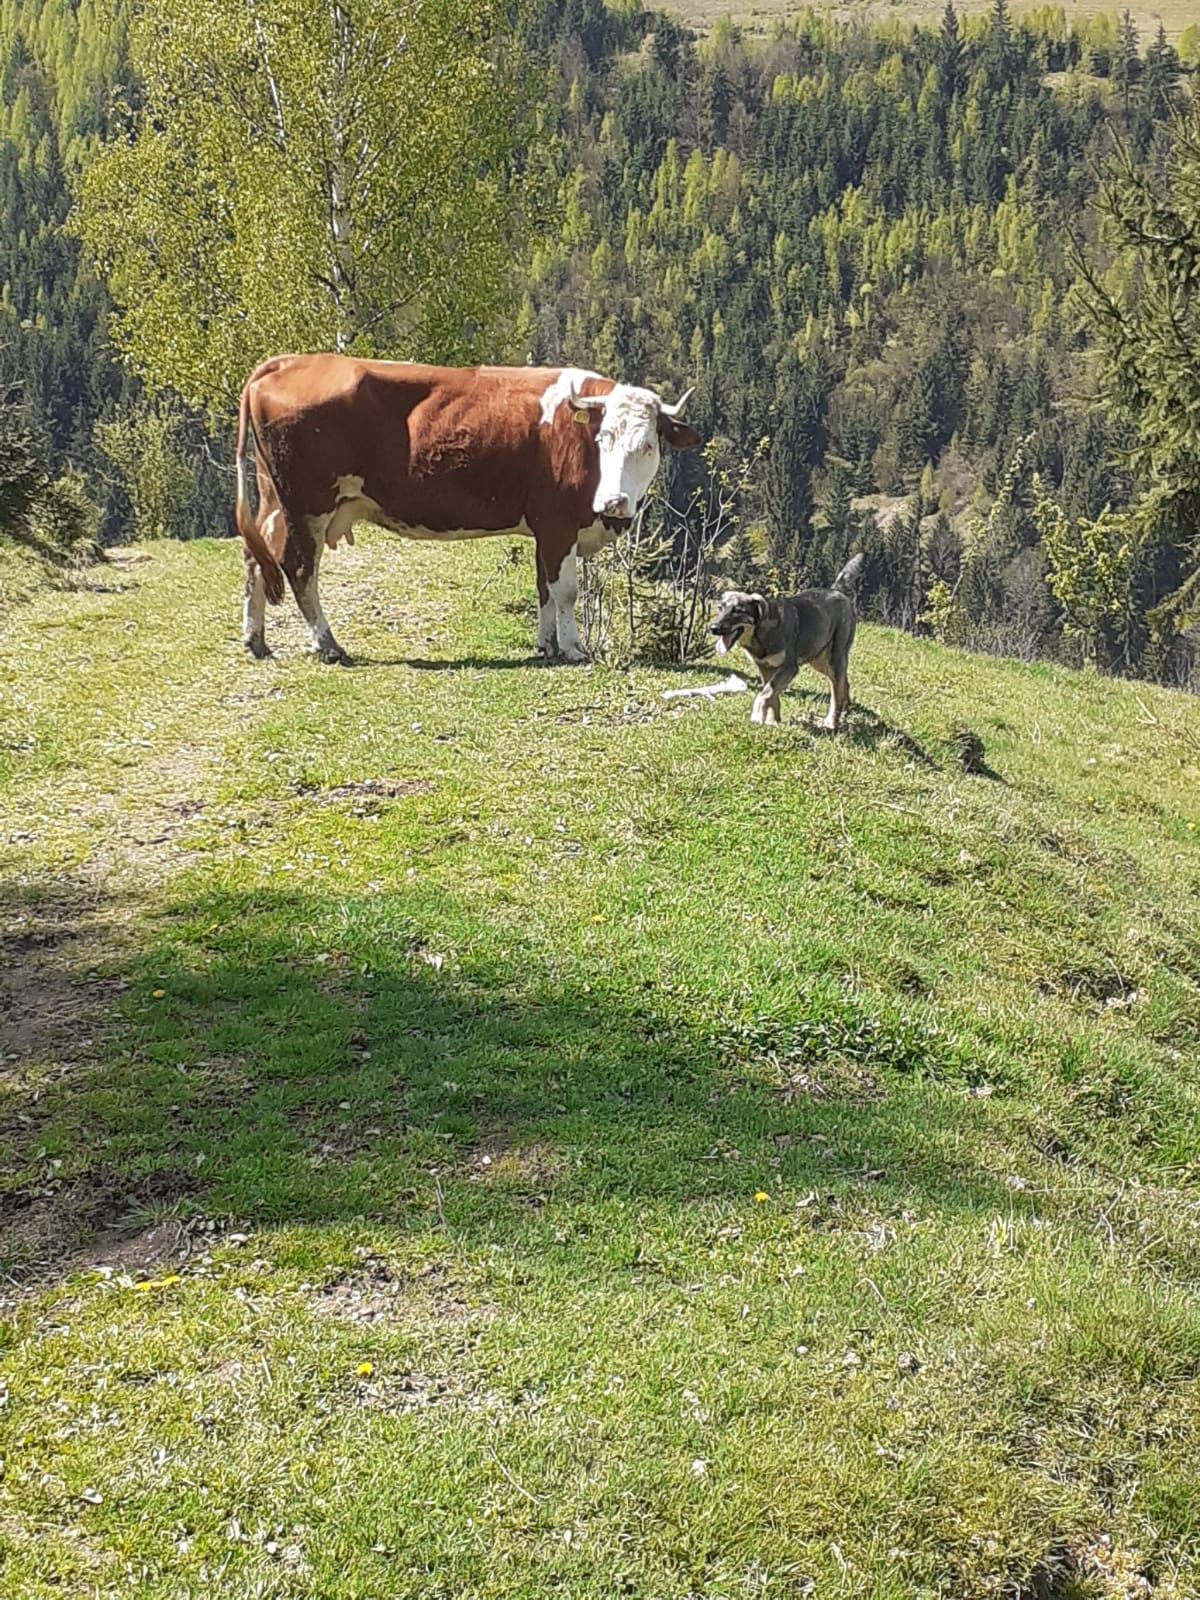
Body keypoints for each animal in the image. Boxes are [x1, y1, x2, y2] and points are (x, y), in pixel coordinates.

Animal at [235, 356, 704, 662]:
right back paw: (328, 645)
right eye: (604, 439)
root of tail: (285, 362)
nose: (613, 501)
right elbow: (566, 591)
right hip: (308, 504)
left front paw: (547, 645)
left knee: (256, 557)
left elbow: (544, 589)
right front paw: (573, 649)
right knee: (298, 569)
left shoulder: (545, 529)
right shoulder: (558, 523)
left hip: (275, 500)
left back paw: (256, 641)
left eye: (647, 445)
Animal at [710, 550, 870, 726]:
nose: (713, 628)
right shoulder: (765, 668)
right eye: (720, 608)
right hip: (819, 660)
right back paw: (845, 712)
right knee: (844, 684)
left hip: (836, 657)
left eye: (737, 611)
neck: (760, 634)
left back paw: (831, 722)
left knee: (836, 691)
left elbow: (765, 693)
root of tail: (837, 591)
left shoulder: (789, 667)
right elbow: (772, 695)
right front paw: (773, 721)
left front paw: (758, 715)